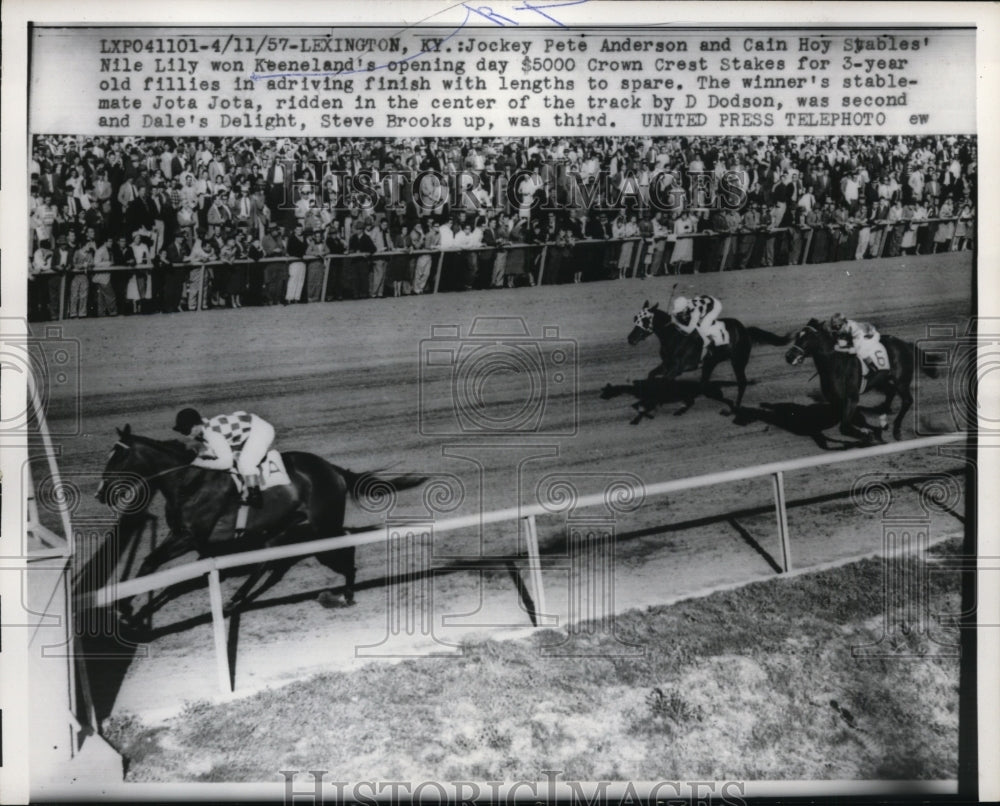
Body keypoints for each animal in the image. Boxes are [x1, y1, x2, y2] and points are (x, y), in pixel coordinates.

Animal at [99, 430, 428, 624]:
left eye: (119, 456)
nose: (100, 493)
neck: (188, 481)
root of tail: (332, 469)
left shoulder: (190, 537)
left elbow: (151, 562)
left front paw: (125, 609)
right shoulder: (192, 541)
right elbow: (169, 576)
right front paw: (132, 609)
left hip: (323, 526)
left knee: (343, 547)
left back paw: (346, 593)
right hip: (283, 525)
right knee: (266, 561)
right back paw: (236, 599)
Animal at [624, 302, 788, 416]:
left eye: (646, 320)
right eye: (635, 318)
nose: (631, 339)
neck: (675, 336)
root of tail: (744, 330)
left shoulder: (676, 368)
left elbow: (662, 383)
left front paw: (646, 405)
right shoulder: (667, 364)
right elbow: (651, 375)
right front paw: (646, 402)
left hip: (738, 361)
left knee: (742, 383)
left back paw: (733, 409)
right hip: (711, 363)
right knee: (703, 383)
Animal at [784, 318, 940, 442]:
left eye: (807, 338)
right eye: (797, 336)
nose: (789, 356)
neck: (835, 364)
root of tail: (906, 345)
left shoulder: (851, 398)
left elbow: (844, 427)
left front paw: (866, 435)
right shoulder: (835, 400)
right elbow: (846, 422)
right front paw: (866, 430)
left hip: (901, 381)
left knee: (907, 400)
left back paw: (896, 430)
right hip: (881, 379)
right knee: (890, 392)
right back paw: (883, 418)